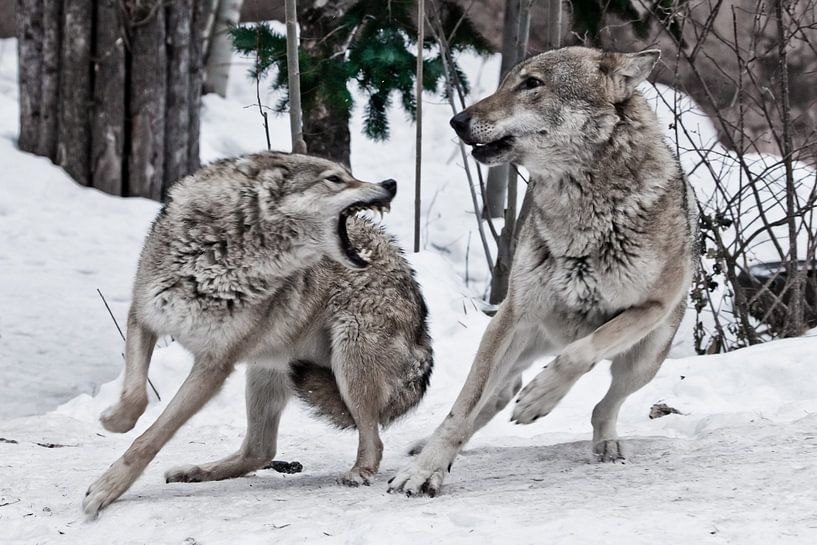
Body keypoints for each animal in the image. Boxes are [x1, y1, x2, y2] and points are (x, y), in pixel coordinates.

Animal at [83, 152, 433, 515]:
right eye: (335, 179)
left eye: (347, 176)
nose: (391, 184)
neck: (218, 255)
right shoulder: (144, 318)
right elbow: (135, 397)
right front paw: (113, 421)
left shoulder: (214, 365)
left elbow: (152, 435)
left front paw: (107, 488)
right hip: (265, 371)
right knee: (260, 450)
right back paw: (197, 471)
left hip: (349, 366)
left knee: (373, 439)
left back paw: (359, 472)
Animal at [389, 47, 696, 496]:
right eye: (504, 83)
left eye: (532, 84)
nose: (457, 121)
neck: (584, 212)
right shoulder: (513, 315)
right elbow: (461, 409)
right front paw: (425, 469)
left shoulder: (652, 306)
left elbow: (581, 352)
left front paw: (541, 398)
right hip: (507, 341)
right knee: (492, 399)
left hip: (643, 361)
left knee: (603, 404)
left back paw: (603, 442)